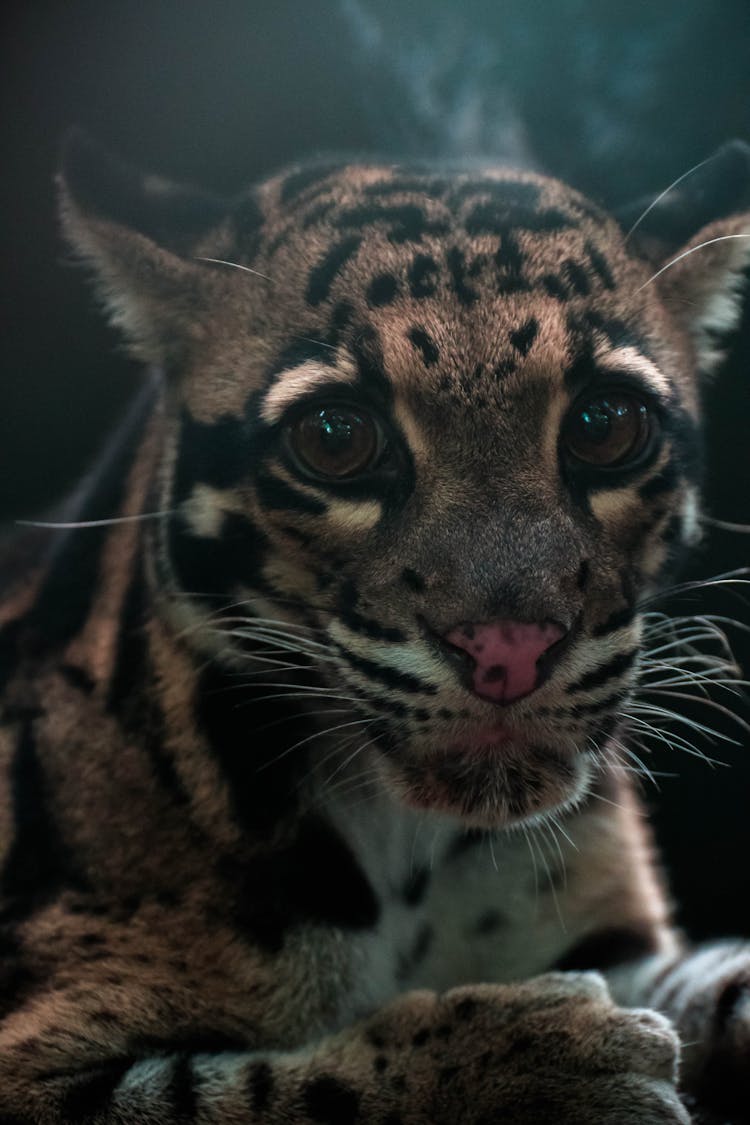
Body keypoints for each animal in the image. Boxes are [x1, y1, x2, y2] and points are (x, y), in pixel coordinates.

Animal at [1, 127, 750, 1120]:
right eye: (335, 437)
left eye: (603, 423)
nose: (510, 649)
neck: (415, 852)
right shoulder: (36, 1053)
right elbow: (268, 1087)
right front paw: (547, 1058)